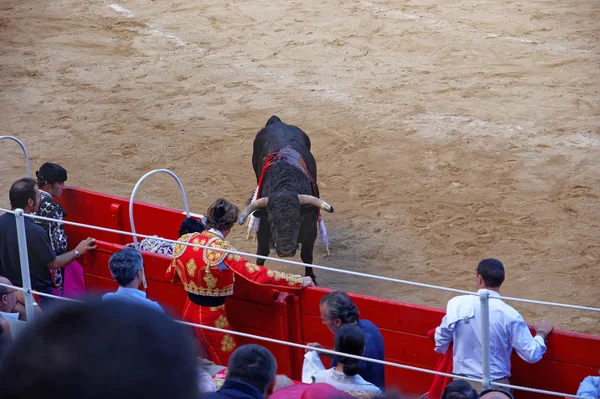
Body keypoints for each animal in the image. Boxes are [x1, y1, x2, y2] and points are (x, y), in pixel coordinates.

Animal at [238, 116, 332, 284]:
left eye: (298, 220)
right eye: (272, 221)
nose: (286, 251)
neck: (285, 186)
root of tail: (276, 122)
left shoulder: (310, 228)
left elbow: (307, 256)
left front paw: (312, 278)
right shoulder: (263, 226)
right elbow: (262, 253)